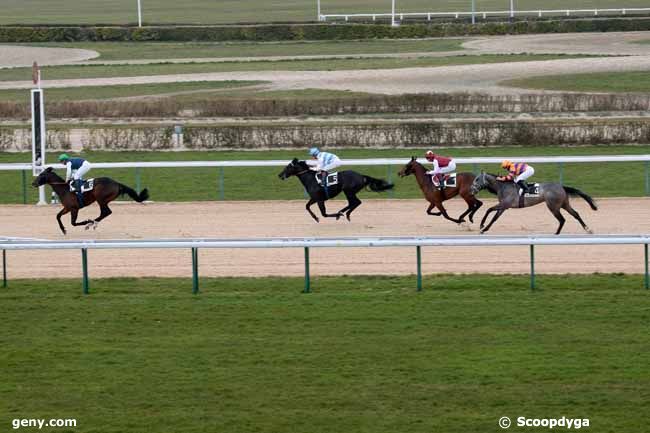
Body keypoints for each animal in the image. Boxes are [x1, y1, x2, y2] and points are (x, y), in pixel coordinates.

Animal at [468, 170, 596, 235]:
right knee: (575, 214)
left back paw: (556, 233)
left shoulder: (505, 204)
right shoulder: (504, 207)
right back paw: (588, 229)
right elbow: (494, 217)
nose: (471, 190)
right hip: (564, 204)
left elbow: (489, 210)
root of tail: (561, 187)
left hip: (553, 206)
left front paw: (482, 226)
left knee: (562, 219)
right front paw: (484, 228)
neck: (503, 186)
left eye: (477, 179)